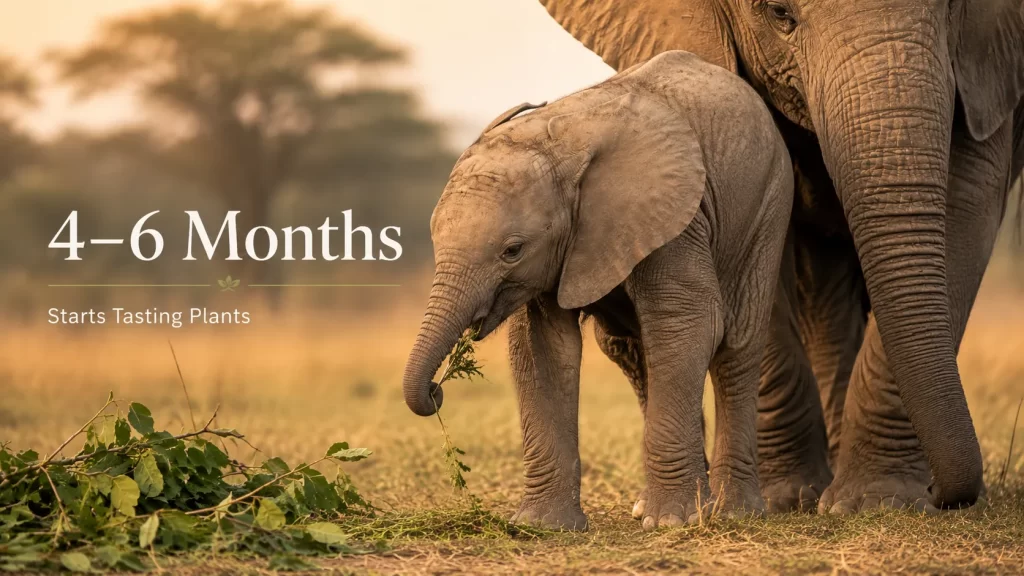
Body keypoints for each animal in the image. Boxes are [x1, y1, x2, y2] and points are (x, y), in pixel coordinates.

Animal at [403, 51, 794, 529]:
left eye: (513, 250)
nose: (436, 390)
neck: (557, 147)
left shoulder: (674, 218)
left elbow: (687, 323)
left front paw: (670, 523)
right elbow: (542, 346)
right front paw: (541, 526)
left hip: (769, 201)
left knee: (736, 346)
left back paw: (731, 510)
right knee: (630, 351)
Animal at [539, 0, 1024, 513]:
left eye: (953, 8)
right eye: (779, 14)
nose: (946, 495)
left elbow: (968, 197)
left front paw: (876, 502)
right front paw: (782, 500)